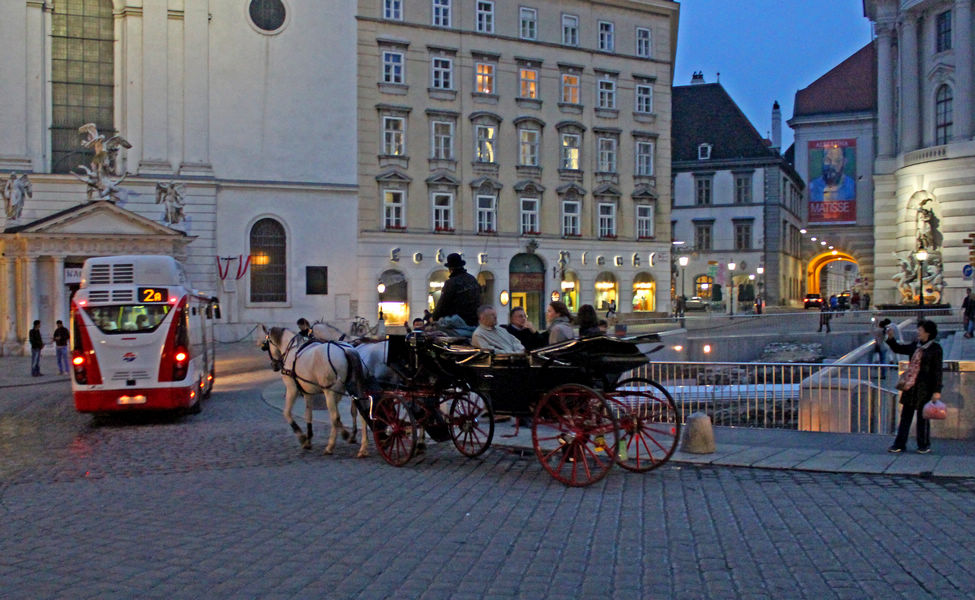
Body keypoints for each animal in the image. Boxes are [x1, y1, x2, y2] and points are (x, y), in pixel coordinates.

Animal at [264, 326, 370, 458]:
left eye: (267, 343)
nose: (274, 365)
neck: (292, 351)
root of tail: (347, 349)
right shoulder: (308, 392)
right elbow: (308, 414)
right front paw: (309, 439)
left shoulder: (292, 389)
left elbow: (287, 413)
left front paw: (302, 437)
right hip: (354, 389)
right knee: (361, 413)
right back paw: (363, 448)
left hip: (329, 392)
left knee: (335, 417)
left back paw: (330, 446)